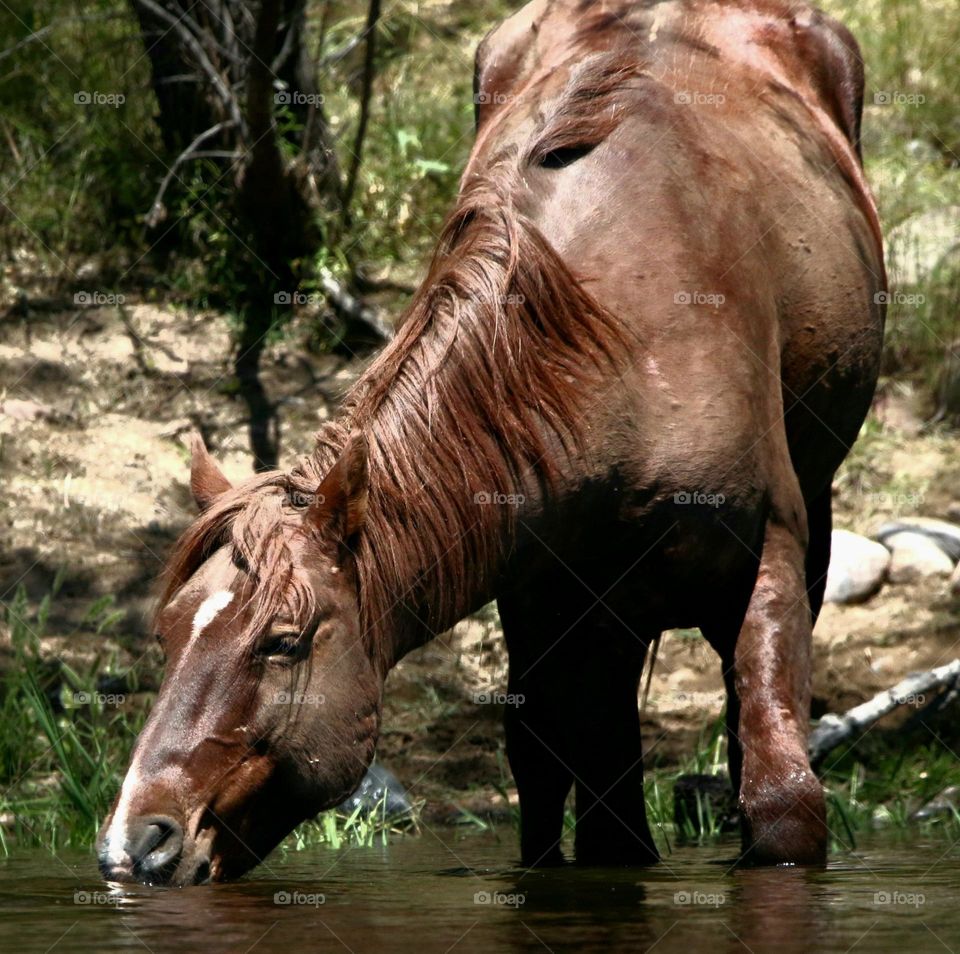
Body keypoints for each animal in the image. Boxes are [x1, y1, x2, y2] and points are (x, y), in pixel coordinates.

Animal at [97, 0, 885, 885]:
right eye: (167, 633)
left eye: (284, 641)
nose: (136, 843)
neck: (613, 354)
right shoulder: (555, 603)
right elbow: (587, 806)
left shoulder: (767, 562)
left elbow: (783, 803)